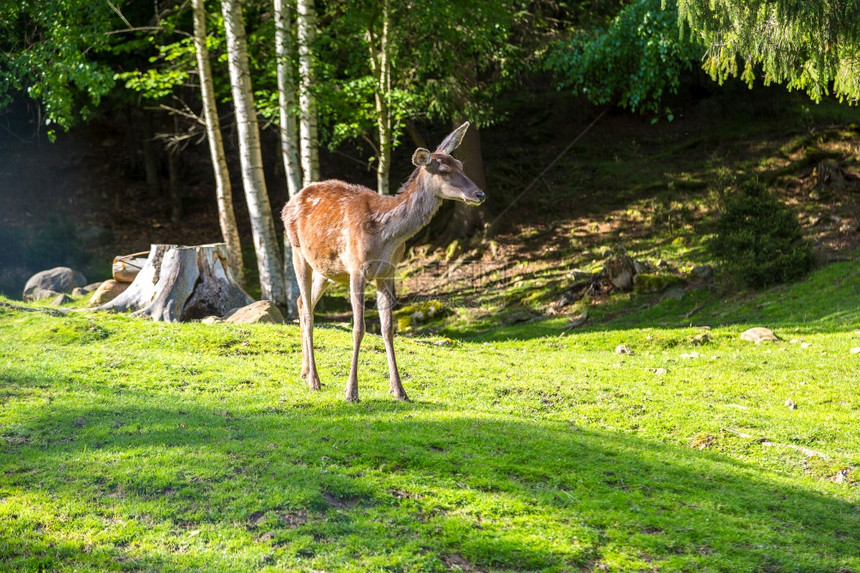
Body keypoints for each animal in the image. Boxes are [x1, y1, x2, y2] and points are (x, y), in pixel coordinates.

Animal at [282, 122, 484, 402]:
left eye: (461, 165)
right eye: (444, 171)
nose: (479, 193)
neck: (386, 236)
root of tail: (287, 204)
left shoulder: (387, 272)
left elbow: (387, 329)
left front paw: (399, 390)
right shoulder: (357, 268)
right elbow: (359, 328)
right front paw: (351, 392)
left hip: (326, 269)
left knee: (303, 303)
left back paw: (304, 372)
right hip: (298, 251)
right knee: (309, 312)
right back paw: (314, 380)